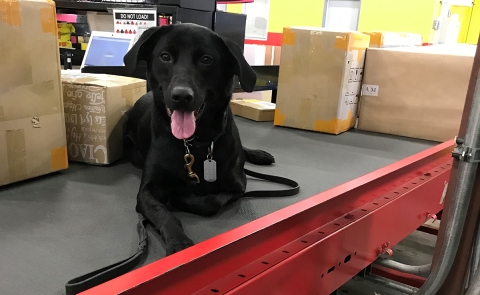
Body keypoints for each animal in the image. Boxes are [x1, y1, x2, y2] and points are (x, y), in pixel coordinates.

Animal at [124, 23, 278, 256]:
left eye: (206, 59)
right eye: (165, 56)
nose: (181, 96)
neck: (194, 143)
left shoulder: (238, 185)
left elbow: (211, 202)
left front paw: (182, 197)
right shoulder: (146, 192)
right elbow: (164, 213)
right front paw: (179, 242)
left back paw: (259, 154)